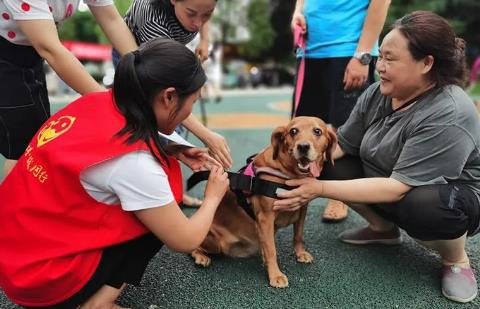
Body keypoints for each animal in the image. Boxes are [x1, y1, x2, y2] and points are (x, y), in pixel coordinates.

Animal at [189, 115, 336, 286]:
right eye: (293, 131)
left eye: (317, 131)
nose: (303, 147)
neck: (288, 174)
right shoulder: (266, 218)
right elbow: (272, 250)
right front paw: (275, 275)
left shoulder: (302, 210)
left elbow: (298, 235)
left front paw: (300, 253)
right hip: (215, 243)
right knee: (192, 247)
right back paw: (201, 257)